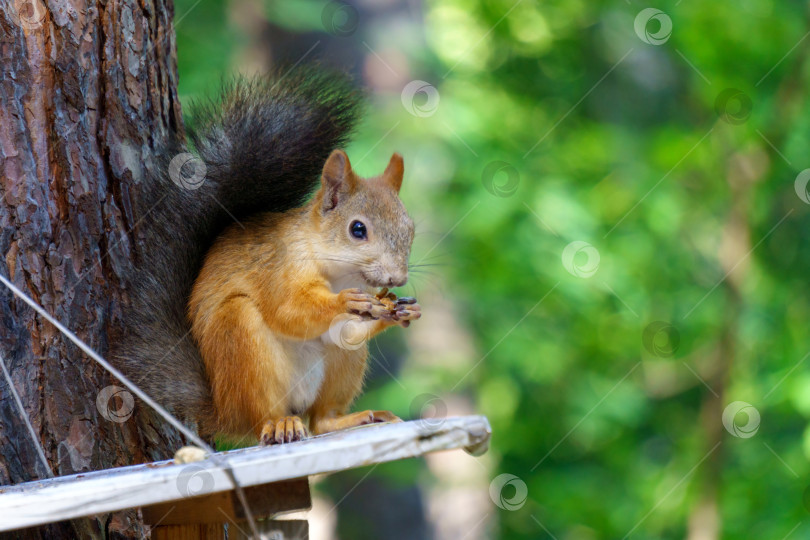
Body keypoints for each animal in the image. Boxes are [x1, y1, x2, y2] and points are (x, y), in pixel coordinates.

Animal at [117, 66, 420, 448]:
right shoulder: (278, 267)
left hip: (341, 366)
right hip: (241, 340)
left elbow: (347, 331)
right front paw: (345, 302)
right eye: (357, 229)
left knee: (321, 419)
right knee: (265, 415)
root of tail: (223, 409)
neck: (338, 272)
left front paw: (400, 309)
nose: (397, 278)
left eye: (411, 229)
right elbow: (287, 310)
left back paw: (352, 418)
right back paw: (279, 425)